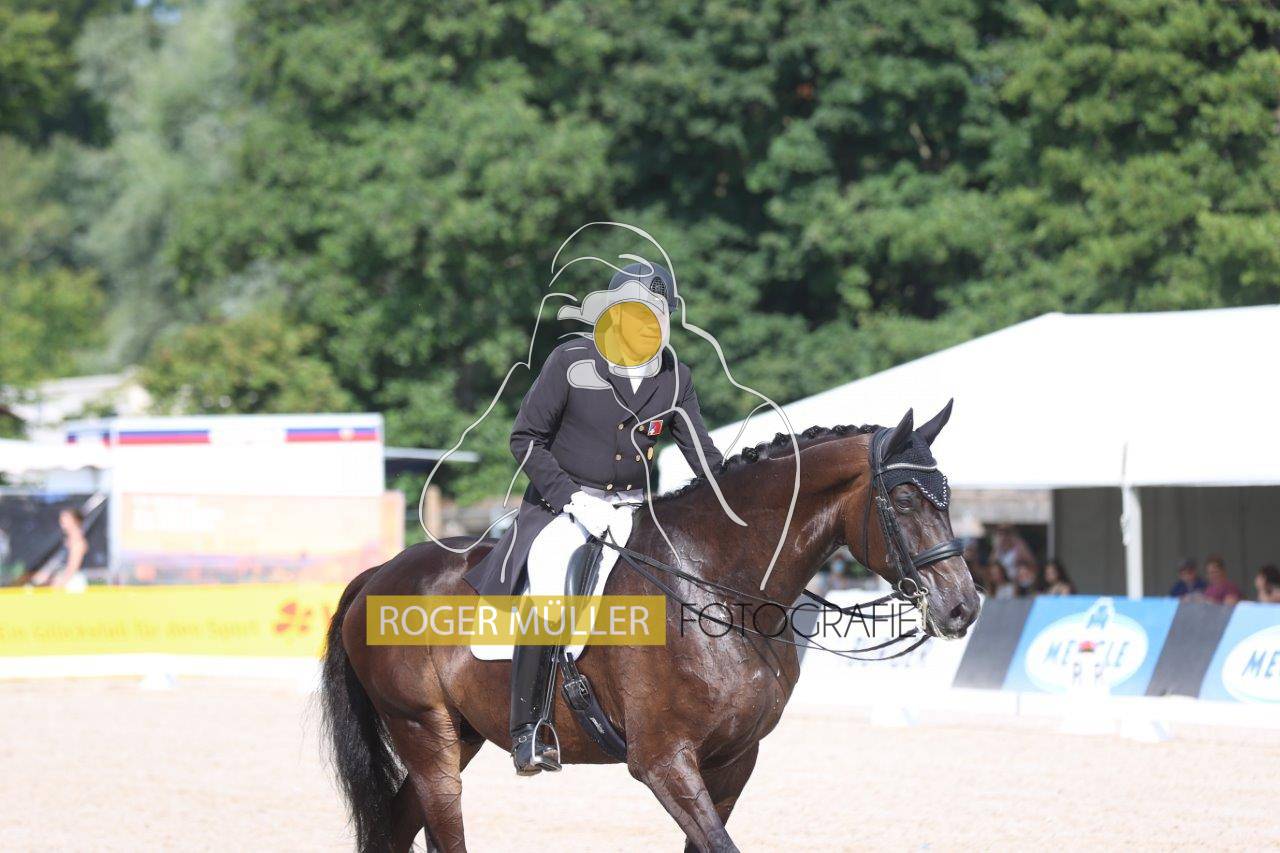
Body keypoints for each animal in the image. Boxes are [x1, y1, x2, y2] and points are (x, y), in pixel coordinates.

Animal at [321, 405, 980, 852]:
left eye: (947, 499)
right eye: (904, 499)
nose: (962, 607)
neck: (717, 585)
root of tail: (381, 572)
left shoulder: (733, 761)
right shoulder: (663, 760)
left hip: (460, 736)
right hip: (422, 731)